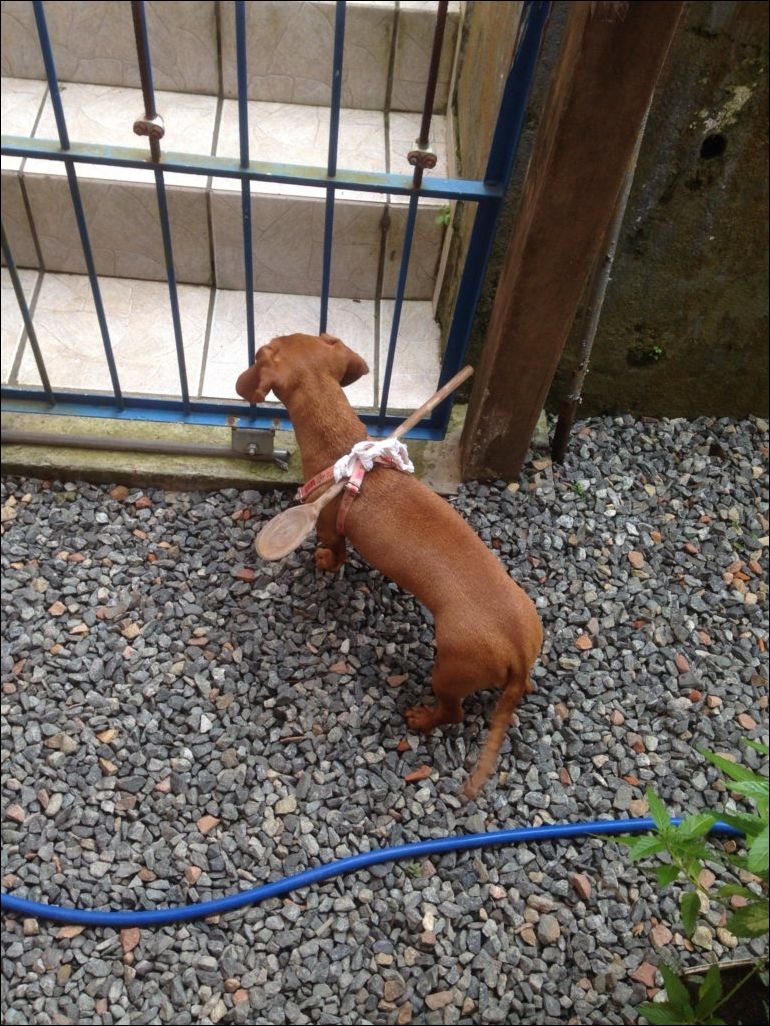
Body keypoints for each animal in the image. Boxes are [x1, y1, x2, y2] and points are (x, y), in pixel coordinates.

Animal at [236, 332, 543, 798]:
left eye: (263, 350)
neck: (344, 445)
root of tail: (518, 652)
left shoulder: (328, 525)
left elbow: (336, 550)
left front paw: (326, 562)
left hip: (448, 670)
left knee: (452, 712)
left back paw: (421, 718)